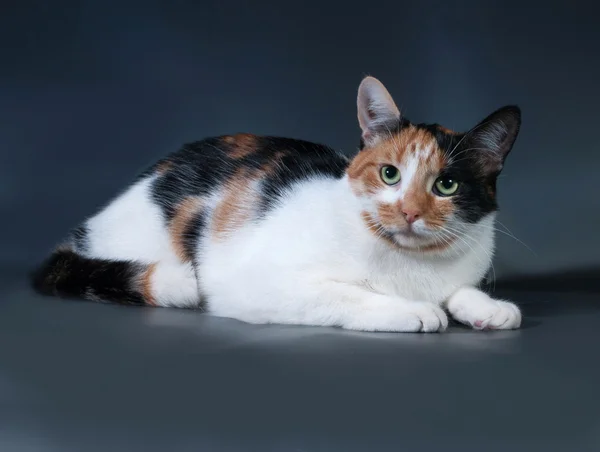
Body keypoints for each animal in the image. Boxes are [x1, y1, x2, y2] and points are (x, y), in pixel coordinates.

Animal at [31, 77, 520, 332]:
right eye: (389, 174)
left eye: (447, 185)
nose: (410, 212)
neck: (410, 262)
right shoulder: (257, 283)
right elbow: (346, 294)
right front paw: (415, 310)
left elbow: (459, 288)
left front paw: (487, 307)